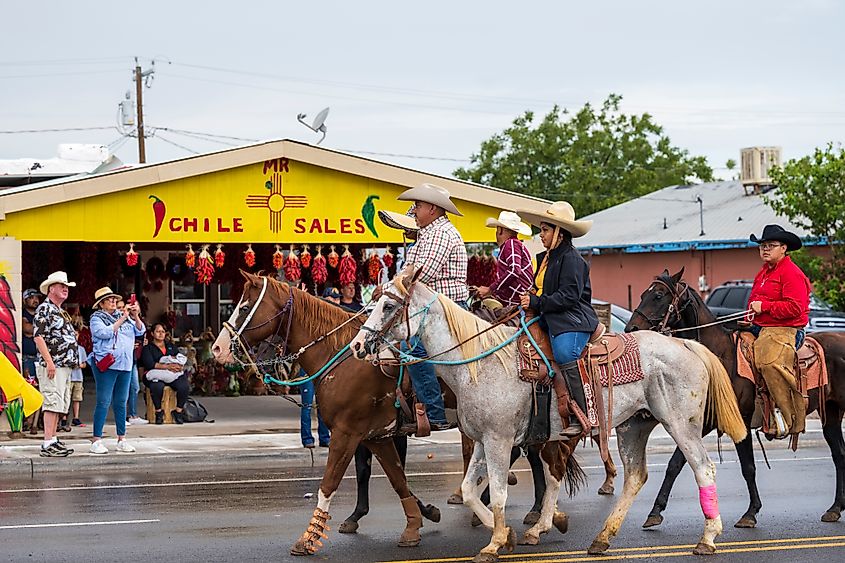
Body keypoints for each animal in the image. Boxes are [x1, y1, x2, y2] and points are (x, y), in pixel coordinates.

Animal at [211, 272, 442, 556]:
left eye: (244, 308)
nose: (218, 348)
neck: (344, 357)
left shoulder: (346, 434)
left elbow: (329, 483)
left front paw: (308, 539)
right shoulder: (377, 437)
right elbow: (398, 480)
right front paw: (414, 524)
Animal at [350, 268, 744, 560]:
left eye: (388, 306)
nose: (357, 345)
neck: (479, 362)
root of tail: (685, 343)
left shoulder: (499, 441)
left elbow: (497, 492)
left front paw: (495, 543)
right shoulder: (482, 440)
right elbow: (469, 490)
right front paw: (508, 534)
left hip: (681, 425)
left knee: (702, 468)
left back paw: (708, 538)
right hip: (634, 427)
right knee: (635, 477)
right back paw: (602, 538)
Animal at [624, 268, 844, 524]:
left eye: (658, 296)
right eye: (642, 294)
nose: (631, 329)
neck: (720, 358)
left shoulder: (741, 421)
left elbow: (748, 467)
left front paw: (750, 513)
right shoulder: (705, 422)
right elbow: (676, 463)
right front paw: (655, 512)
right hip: (831, 412)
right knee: (839, 454)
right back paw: (835, 508)